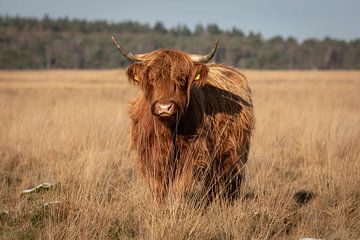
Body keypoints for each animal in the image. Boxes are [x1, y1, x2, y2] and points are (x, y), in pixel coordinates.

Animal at [111, 36, 255, 203]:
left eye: (181, 79)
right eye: (151, 78)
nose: (164, 107)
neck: (167, 130)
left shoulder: (192, 151)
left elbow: (181, 186)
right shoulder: (150, 153)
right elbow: (158, 187)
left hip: (234, 151)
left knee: (228, 178)